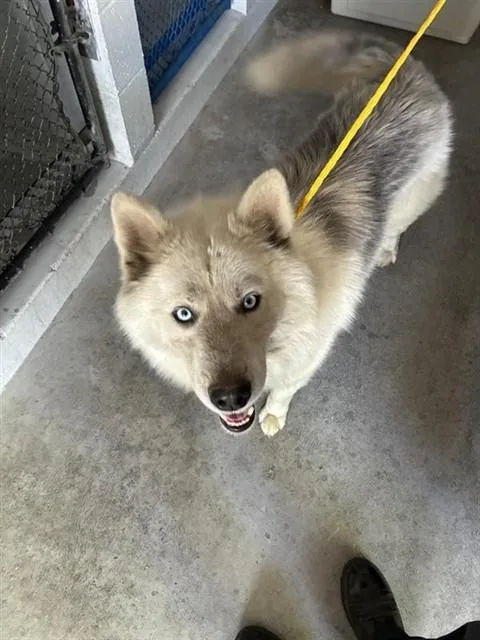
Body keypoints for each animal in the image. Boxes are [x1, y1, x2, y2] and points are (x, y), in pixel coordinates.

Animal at [111, 31, 452, 436]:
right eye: (183, 314)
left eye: (250, 301)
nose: (230, 398)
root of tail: (405, 68)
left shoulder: (306, 360)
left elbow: (284, 390)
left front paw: (274, 412)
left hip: (415, 197)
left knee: (397, 225)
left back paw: (386, 247)